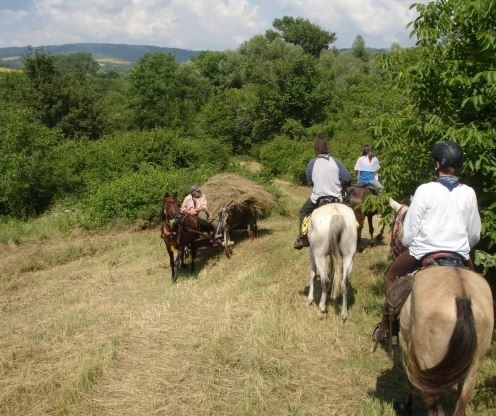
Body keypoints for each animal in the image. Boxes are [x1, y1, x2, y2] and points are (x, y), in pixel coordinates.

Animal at [390, 199, 494, 416]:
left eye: (393, 224)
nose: (392, 250)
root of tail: (462, 295)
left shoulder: (410, 346)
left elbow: (410, 378)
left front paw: (406, 403)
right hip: (472, 368)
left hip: (429, 362)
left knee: (433, 405)